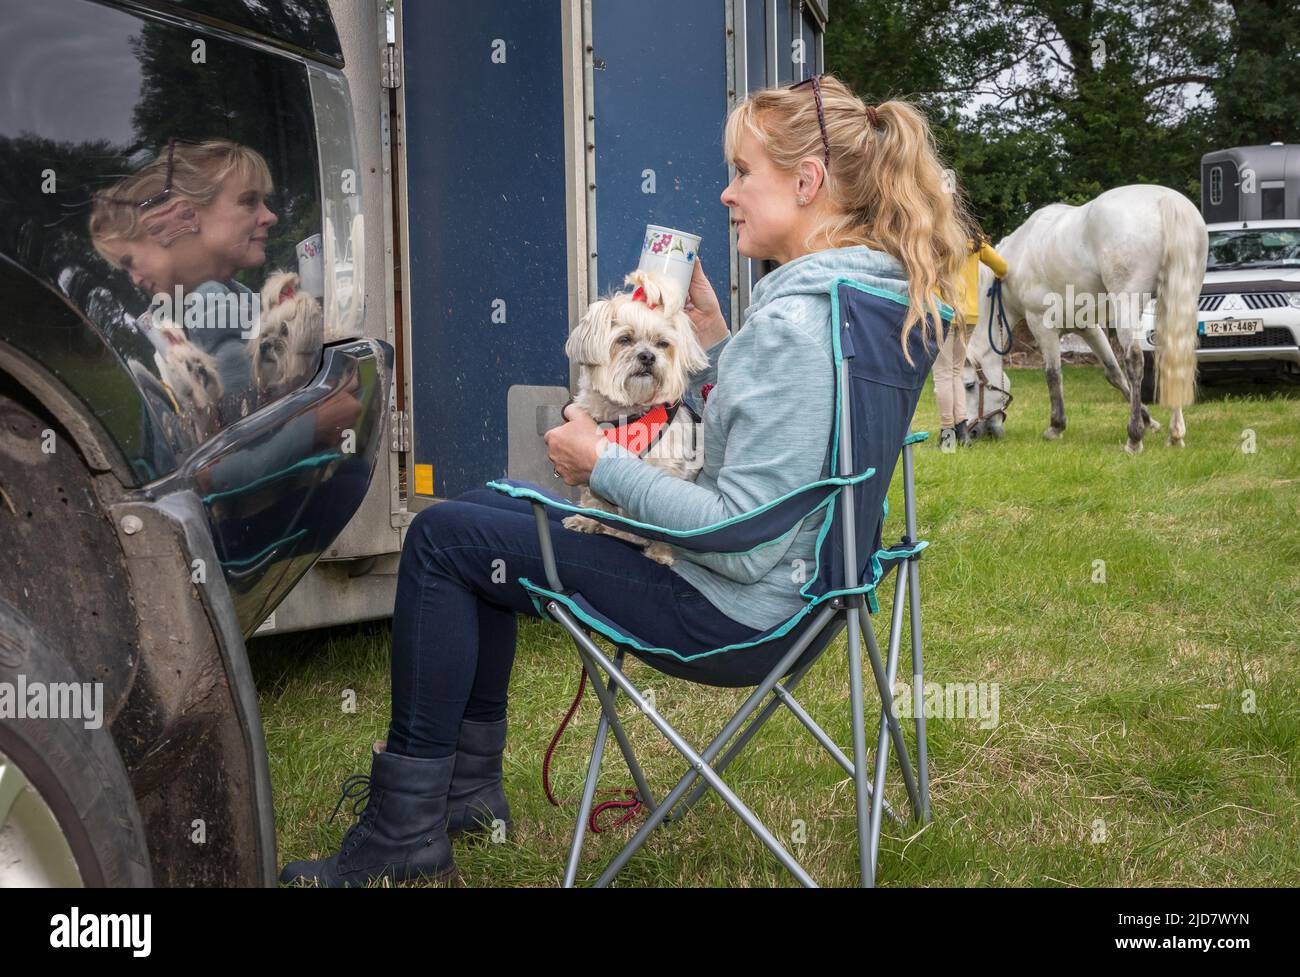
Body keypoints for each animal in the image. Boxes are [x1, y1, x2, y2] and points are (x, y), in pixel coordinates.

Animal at [561, 265, 707, 563]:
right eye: (624, 339)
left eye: (662, 344)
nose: (648, 357)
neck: (627, 410)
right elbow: (593, 498)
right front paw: (586, 520)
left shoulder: (667, 467)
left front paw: (661, 553)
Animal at [967, 184, 1206, 452]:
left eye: (969, 386)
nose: (971, 433)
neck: (1013, 264)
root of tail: (1166, 201)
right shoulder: (1088, 328)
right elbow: (1113, 373)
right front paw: (1150, 421)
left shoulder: (1041, 325)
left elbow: (1052, 374)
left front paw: (1055, 427)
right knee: (1173, 358)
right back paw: (1175, 434)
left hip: (1127, 303)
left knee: (1134, 360)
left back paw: (1133, 439)